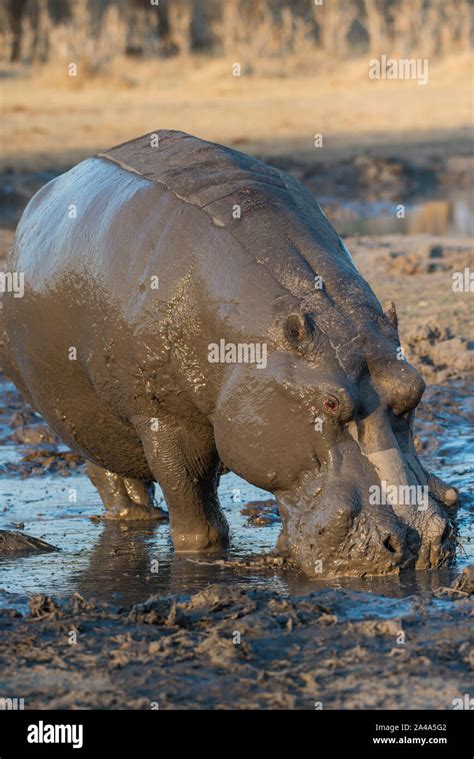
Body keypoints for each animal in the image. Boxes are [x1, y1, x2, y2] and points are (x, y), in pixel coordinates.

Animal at [0, 131, 460, 580]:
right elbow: (195, 513)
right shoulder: (163, 417)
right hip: (75, 410)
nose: (417, 539)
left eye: (416, 386)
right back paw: (135, 515)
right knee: (102, 464)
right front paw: (199, 555)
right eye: (331, 403)